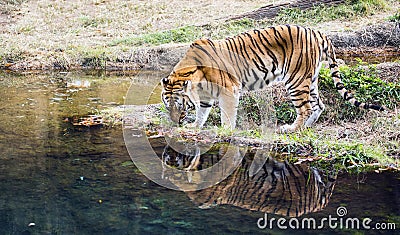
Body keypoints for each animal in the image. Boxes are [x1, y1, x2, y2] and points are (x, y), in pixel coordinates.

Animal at [160, 24, 384, 133]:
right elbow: (202, 113)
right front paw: (194, 127)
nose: (175, 121)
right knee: (319, 105)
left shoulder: (229, 89)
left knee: (306, 107)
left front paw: (225, 130)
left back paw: (291, 129)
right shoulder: (205, 97)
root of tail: (318, 32)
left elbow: (227, 114)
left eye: (179, 105)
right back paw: (306, 127)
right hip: (310, 79)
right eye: (167, 106)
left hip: (296, 80)